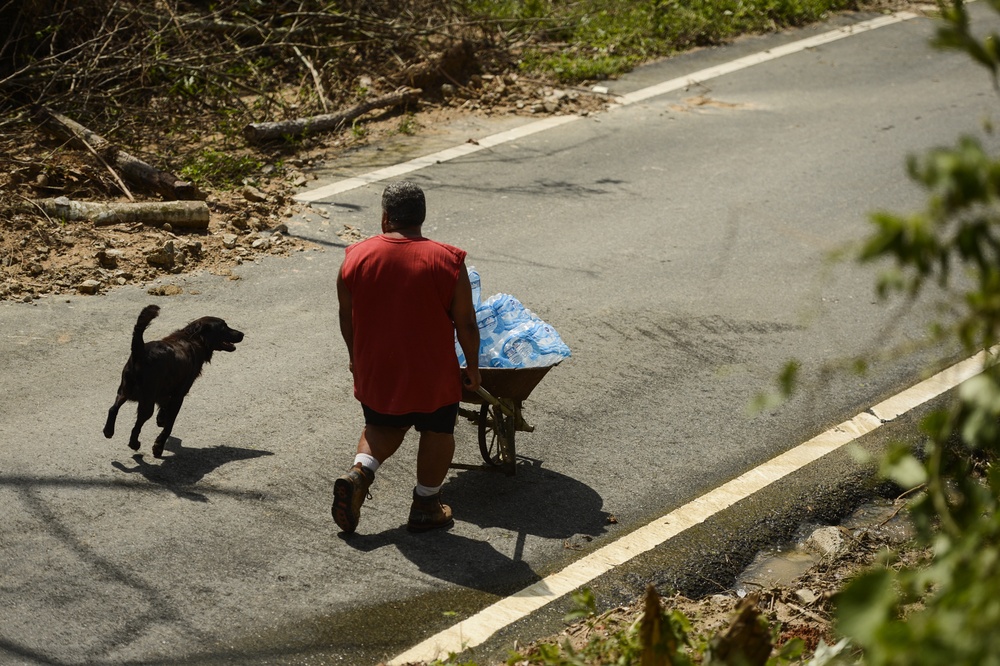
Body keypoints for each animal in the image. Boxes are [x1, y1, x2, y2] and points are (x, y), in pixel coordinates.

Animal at [104, 304, 246, 454]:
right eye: (224, 326)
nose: (242, 334)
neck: (194, 339)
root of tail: (141, 351)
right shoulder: (179, 395)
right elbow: (169, 425)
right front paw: (158, 446)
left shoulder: (166, 391)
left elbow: (164, 409)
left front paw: (161, 419)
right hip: (146, 401)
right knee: (136, 425)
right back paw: (134, 443)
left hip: (124, 391)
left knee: (113, 409)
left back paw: (108, 431)